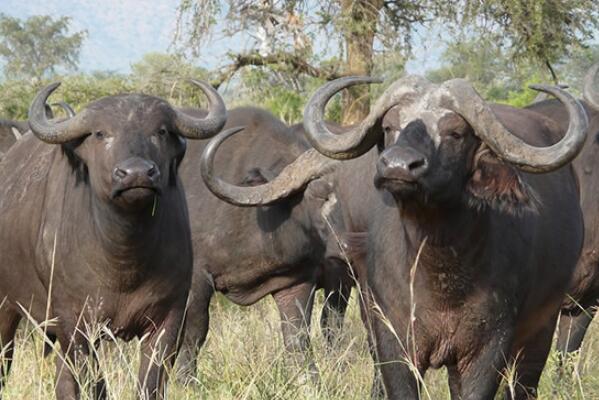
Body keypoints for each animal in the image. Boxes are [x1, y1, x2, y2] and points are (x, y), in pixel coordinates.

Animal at [0, 79, 227, 398]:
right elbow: (95, 383)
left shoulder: (169, 319)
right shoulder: (76, 324)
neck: (124, 259)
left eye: (161, 131)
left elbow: (150, 382)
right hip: (6, 309)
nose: (136, 173)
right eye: (100, 133)